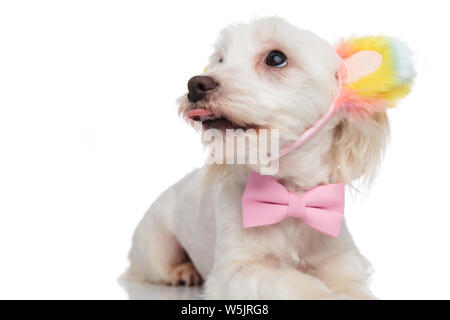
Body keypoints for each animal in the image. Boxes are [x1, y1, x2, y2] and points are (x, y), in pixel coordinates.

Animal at [125, 16, 414, 300]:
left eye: (276, 58)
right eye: (220, 59)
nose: (196, 84)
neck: (290, 194)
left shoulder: (339, 254)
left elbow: (351, 282)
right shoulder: (236, 271)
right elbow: (296, 282)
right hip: (156, 244)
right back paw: (183, 271)